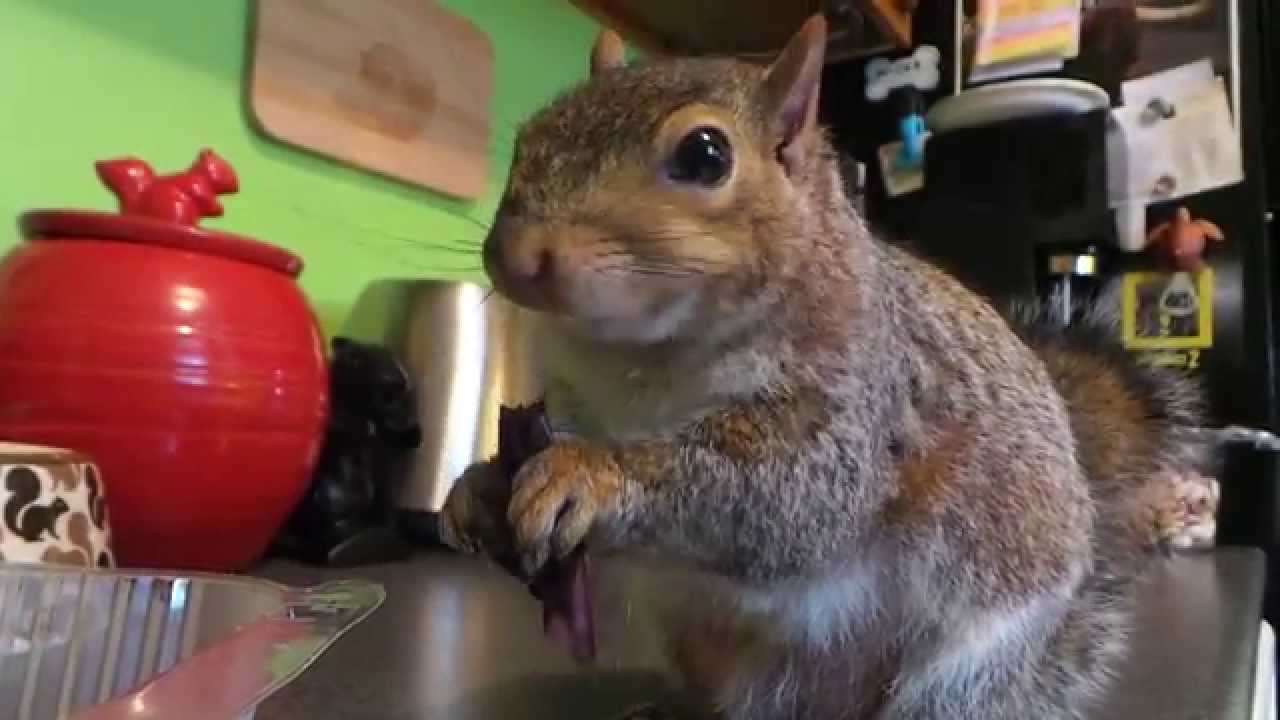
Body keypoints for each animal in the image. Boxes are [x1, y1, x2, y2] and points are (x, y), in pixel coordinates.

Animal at [441, 16, 1216, 720]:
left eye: (705, 154)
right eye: (530, 134)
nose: (515, 256)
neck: (644, 357)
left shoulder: (866, 398)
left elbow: (794, 491)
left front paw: (591, 474)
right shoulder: (576, 394)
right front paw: (476, 489)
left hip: (964, 671)